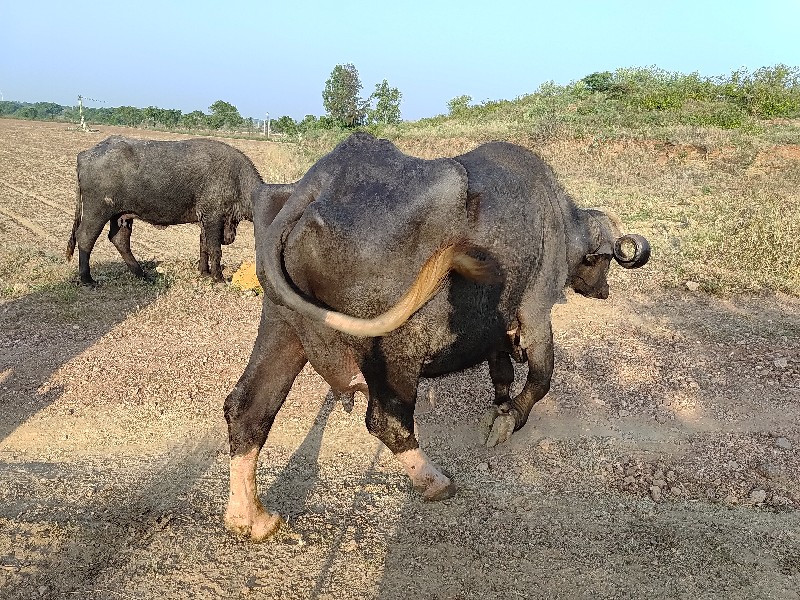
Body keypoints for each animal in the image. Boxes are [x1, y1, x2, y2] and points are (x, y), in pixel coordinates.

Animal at [66, 136, 262, 286]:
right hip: (97, 211)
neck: (237, 179)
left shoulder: (205, 221)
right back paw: (87, 279)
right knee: (85, 237)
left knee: (119, 240)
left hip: (121, 216)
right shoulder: (214, 217)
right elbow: (215, 249)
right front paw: (218, 278)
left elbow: (203, 245)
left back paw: (142, 274)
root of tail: (84, 155)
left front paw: (204, 272)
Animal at [220, 134, 648, 540]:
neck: (556, 217)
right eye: (604, 261)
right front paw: (510, 420)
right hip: (393, 349)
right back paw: (435, 481)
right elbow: (540, 380)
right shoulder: (537, 314)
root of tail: (320, 180)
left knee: (247, 407)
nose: (603, 290)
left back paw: (251, 519)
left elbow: (502, 374)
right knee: (385, 421)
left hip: (281, 326)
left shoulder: (495, 329)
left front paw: (500, 408)